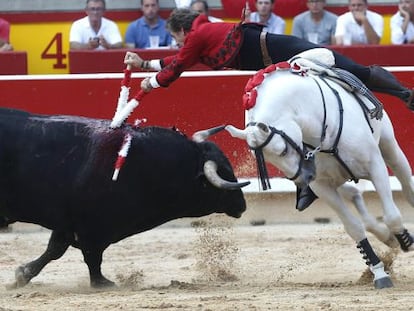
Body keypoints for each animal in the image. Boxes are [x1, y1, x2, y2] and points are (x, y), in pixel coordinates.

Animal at [0, 108, 247, 288]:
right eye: (225, 175)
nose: (242, 205)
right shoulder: (91, 226)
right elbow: (91, 256)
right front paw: (102, 283)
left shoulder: (69, 223)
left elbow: (56, 249)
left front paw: (23, 274)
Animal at [225, 61, 414, 290]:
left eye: (282, 151)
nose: (303, 180)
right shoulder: (322, 187)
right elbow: (354, 227)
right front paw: (379, 273)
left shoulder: (375, 166)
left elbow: (392, 215)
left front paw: (405, 240)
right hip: (340, 179)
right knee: (355, 196)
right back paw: (386, 236)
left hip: (389, 147)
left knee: (406, 185)